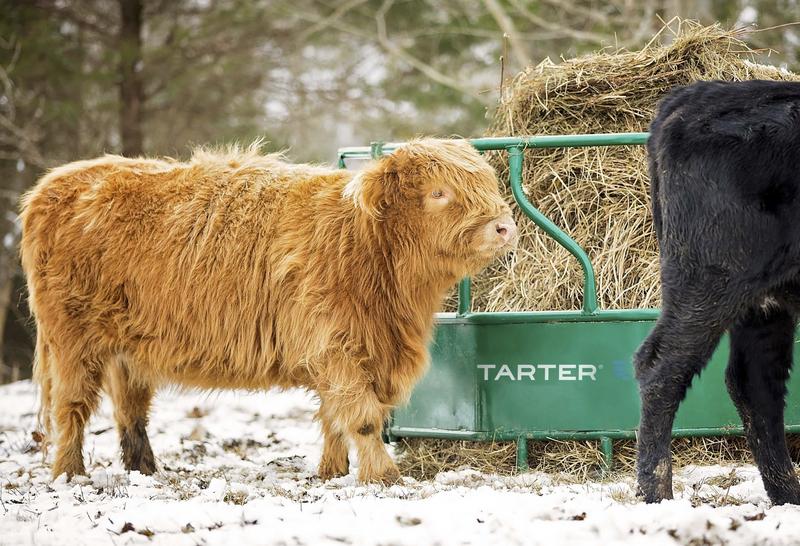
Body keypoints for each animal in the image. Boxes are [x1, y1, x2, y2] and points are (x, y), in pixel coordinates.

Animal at [20, 139, 517, 484]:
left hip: (127, 349)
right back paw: (70, 473)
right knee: (72, 407)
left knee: (130, 411)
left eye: (487, 185)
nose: (504, 226)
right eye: (439, 192)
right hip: (72, 340)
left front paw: (332, 472)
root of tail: (55, 183)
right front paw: (384, 476)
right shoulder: (336, 346)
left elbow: (333, 417)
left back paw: (144, 469)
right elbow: (362, 416)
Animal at [636, 79, 800, 505]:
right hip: (709, 283)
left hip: (762, 304)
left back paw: (787, 496)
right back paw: (657, 495)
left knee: (756, 383)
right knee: (660, 368)